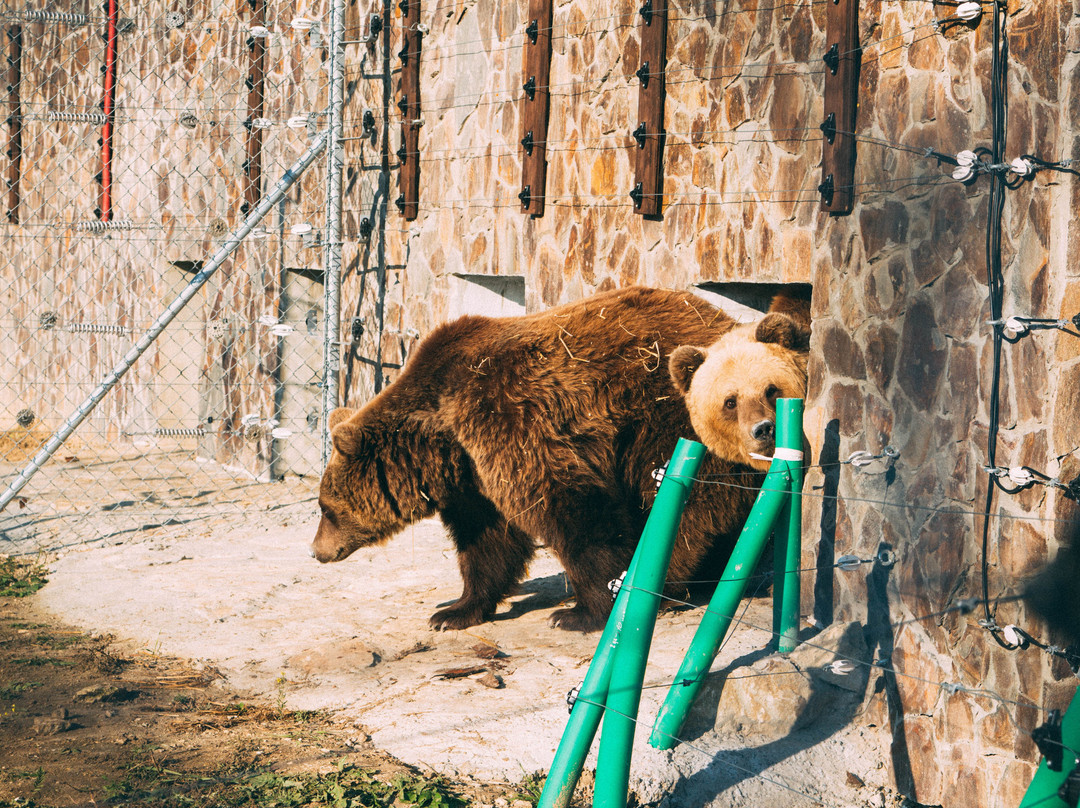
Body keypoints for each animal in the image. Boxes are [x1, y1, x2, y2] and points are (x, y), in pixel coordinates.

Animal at [313, 287, 760, 635]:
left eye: (326, 508)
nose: (317, 552)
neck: (440, 435)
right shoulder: (473, 474)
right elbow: (487, 540)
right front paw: (453, 612)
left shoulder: (506, 416)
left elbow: (574, 511)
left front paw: (581, 612)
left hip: (667, 415)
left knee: (685, 503)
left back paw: (664, 583)